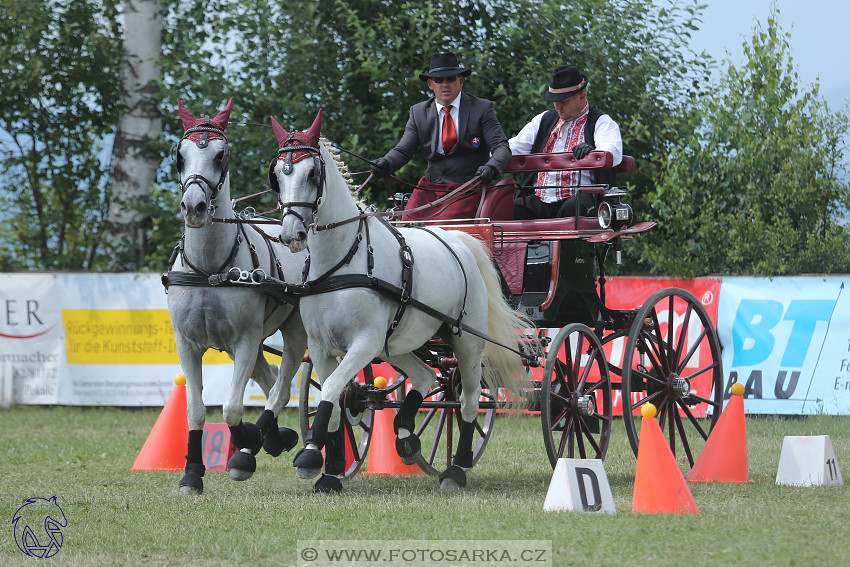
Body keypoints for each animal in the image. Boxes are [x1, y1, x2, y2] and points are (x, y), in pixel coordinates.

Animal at [166, 98, 308, 496]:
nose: (194, 207)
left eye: (221, 154)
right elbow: (196, 410)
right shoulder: (187, 344)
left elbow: (231, 408)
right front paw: (192, 474)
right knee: (271, 378)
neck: (208, 268)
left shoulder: (244, 339)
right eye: (180, 155)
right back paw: (277, 438)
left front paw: (247, 439)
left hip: (294, 331)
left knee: (283, 385)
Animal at [268, 111, 528, 492]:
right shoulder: (320, 347)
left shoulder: (364, 343)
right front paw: (328, 470)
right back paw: (406, 434)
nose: (291, 235)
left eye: (313, 173)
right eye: (277, 175)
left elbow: (331, 389)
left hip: (466, 342)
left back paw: (456, 468)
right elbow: (334, 401)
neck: (342, 261)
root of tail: (460, 239)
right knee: (424, 377)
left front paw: (310, 456)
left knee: (465, 400)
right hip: (400, 342)